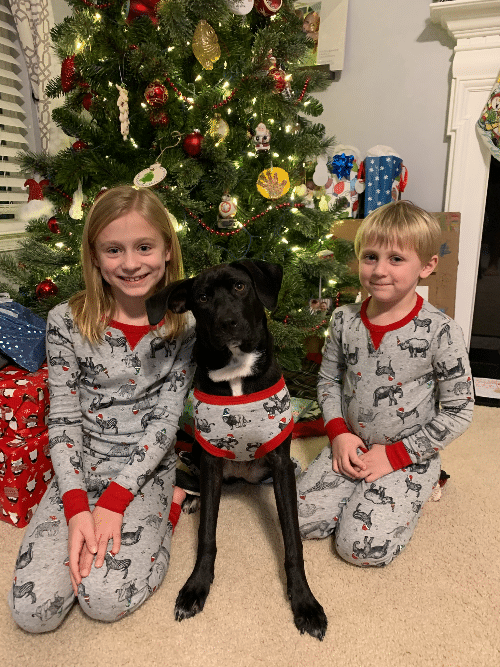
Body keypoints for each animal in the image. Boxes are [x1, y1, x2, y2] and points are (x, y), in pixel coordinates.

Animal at [146, 260, 328, 640]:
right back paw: (194, 498)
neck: (236, 374)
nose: (227, 322)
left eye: (241, 287)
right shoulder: (212, 461)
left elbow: (293, 541)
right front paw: (196, 587)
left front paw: (305, 602)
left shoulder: (280, 462)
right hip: (203, 459)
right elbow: (206, 536)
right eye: (202, 297)